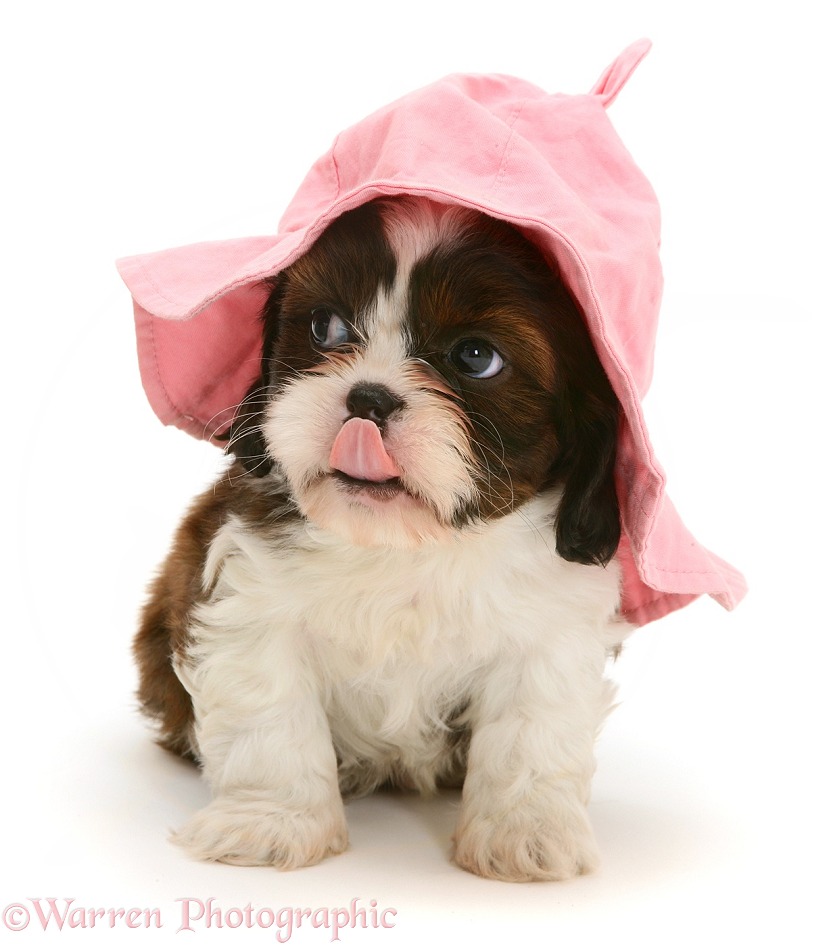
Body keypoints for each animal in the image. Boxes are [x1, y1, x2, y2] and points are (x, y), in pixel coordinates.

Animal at [135, 195, 632, 880]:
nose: (367, 397)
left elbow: (532, 729)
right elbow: (271, 715)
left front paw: (525, 832)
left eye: (475, 358)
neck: (406, 547)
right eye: (326, 328)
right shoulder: (250, 600)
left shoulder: (551, 624)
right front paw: (271, 822)